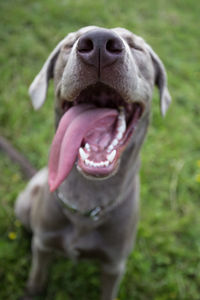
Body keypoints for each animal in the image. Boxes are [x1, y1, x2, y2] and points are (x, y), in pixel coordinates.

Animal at [15, 26, 171, 300]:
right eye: (69, 44)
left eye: (136, 47)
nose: (99, 42)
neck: (87, 199)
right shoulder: (44, 244)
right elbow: (36, 278)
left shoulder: (114, 265)